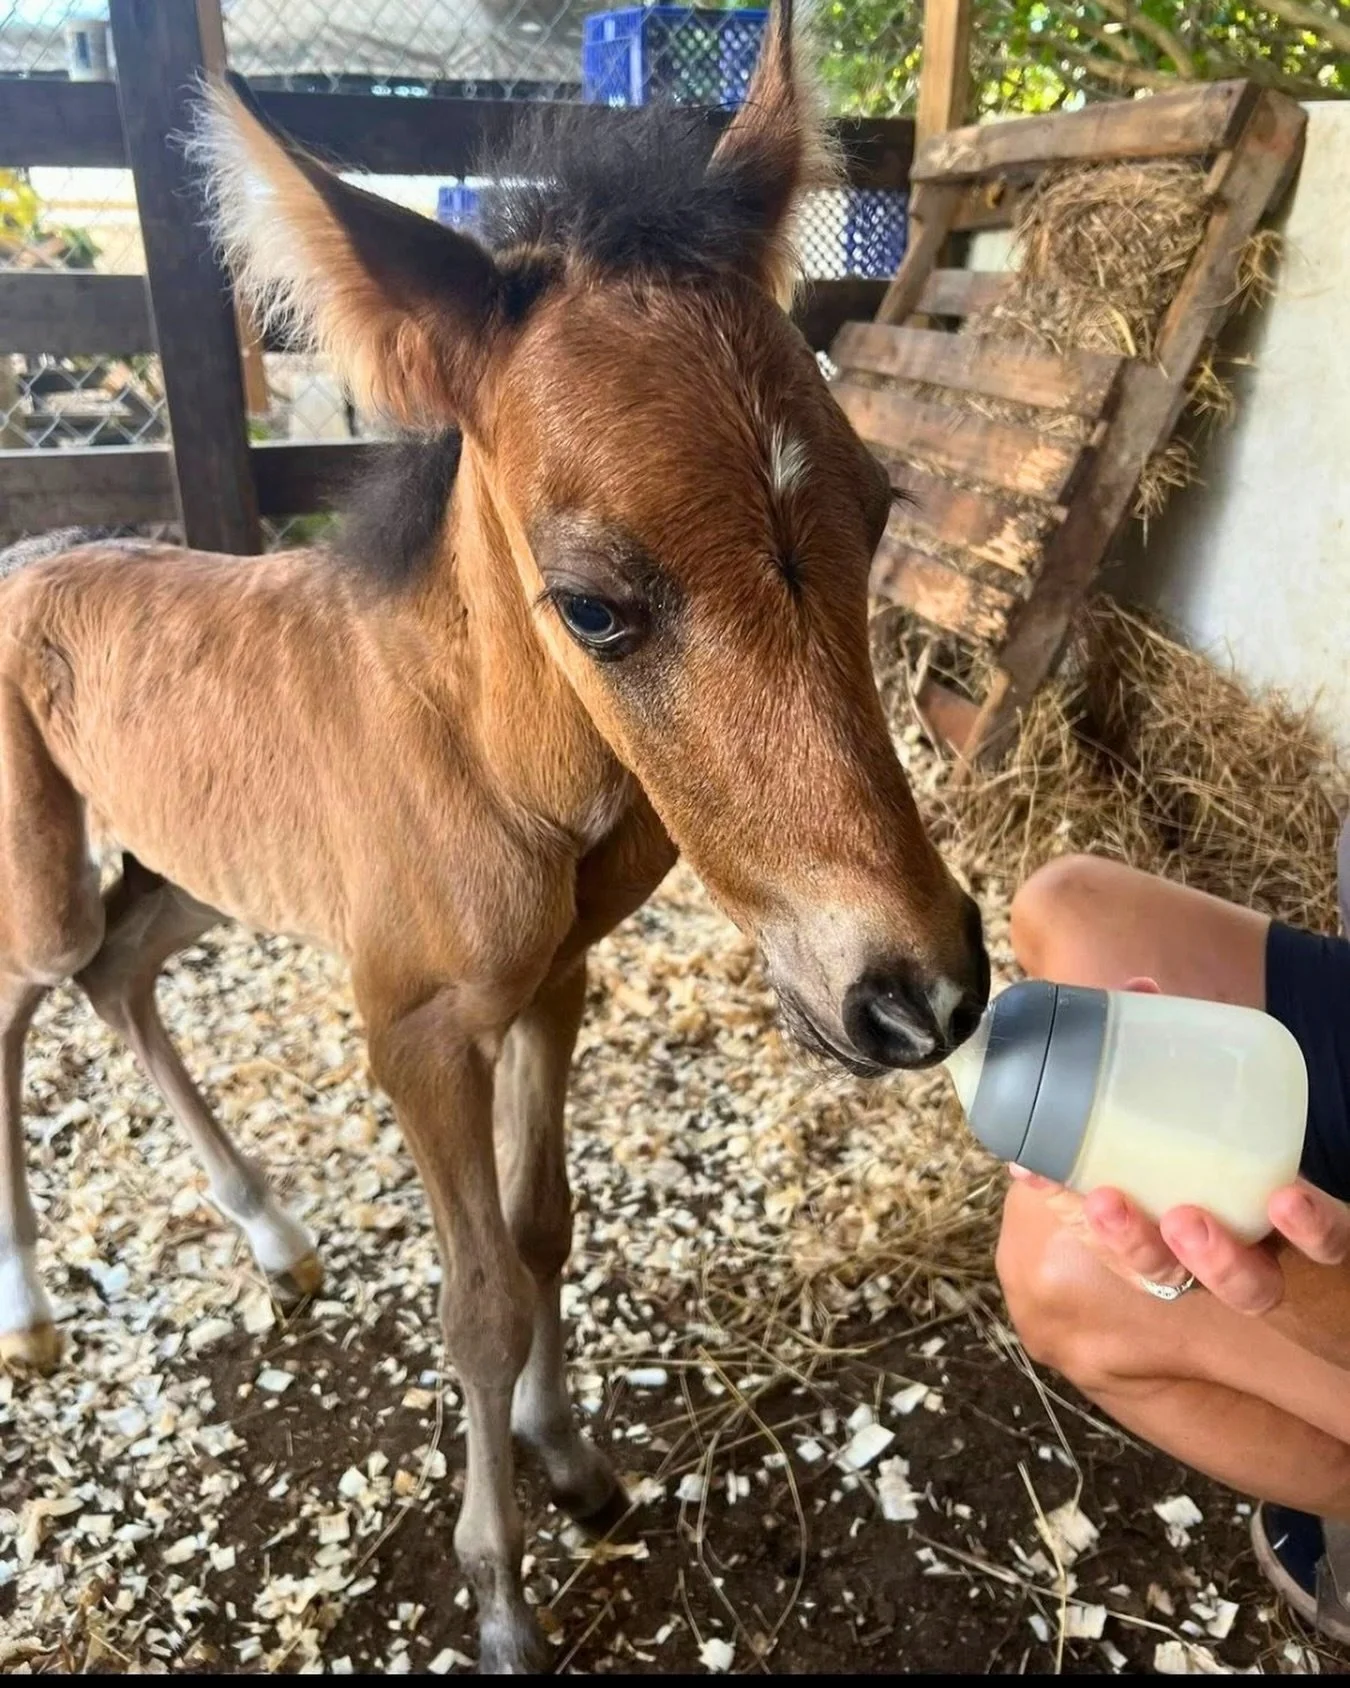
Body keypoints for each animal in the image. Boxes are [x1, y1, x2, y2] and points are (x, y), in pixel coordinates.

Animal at [0, 4, 987, 1669]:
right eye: (593, 604)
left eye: (874, 508)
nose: (921, 991)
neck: (489, 756)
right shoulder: (412, 1029)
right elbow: (471, 1296)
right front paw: (504, 1596)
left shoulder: (551, 984)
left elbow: (540, 1235)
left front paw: (572, 1458)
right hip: (43, 874)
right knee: (34, 988)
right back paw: (28, 1307)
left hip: (198, 869)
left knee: (121, 976)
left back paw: (272, 1236)